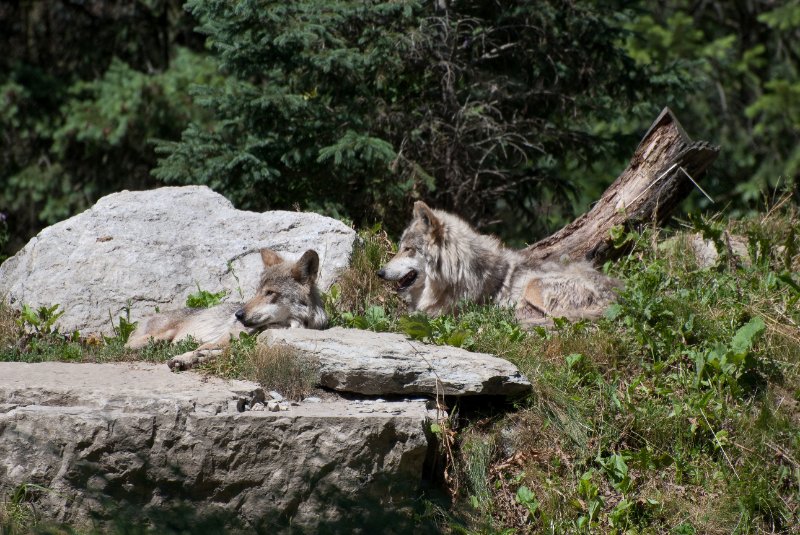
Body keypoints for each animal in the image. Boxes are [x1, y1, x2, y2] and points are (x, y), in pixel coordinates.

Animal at [126, 248, 328, 370]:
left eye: (270, 293)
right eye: (256, 292)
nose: (238, 315)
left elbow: (216, 353)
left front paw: (194, 359)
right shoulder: (224, 339)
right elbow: (202, 349)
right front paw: (185, 358)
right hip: (157, 337)